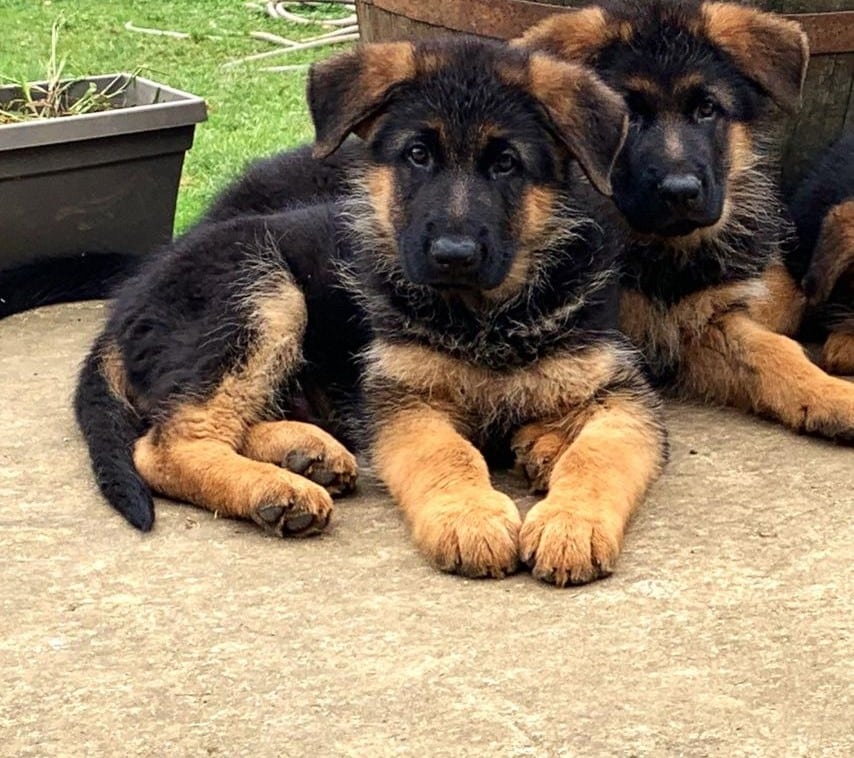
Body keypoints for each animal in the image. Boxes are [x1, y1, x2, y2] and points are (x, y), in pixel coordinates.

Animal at [75, 37, 668, 588]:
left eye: (506, 164)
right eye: (417, 155)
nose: (453, 254)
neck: (485, 317)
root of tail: (127, 305)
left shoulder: (620, 396)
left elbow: (597, 457)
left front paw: (572, 521)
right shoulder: (403, 398)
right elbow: (447, 454)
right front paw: (470, 517)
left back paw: (306, 452)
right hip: (261, 293)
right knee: (165, 445)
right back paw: (279, 488)